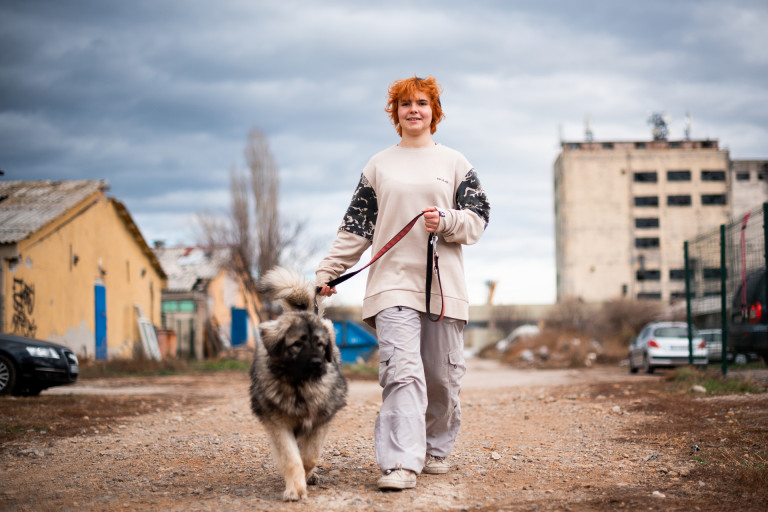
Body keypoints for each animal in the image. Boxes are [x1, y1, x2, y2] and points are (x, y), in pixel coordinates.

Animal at [249, 268, 348, 500]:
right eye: (297, 344)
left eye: (320, 344)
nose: (317, 363)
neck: (299, 387)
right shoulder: (278, 423)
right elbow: (292, 459)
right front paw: (295, 488)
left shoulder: (320, 421)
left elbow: (309, 456)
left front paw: (306, 475)